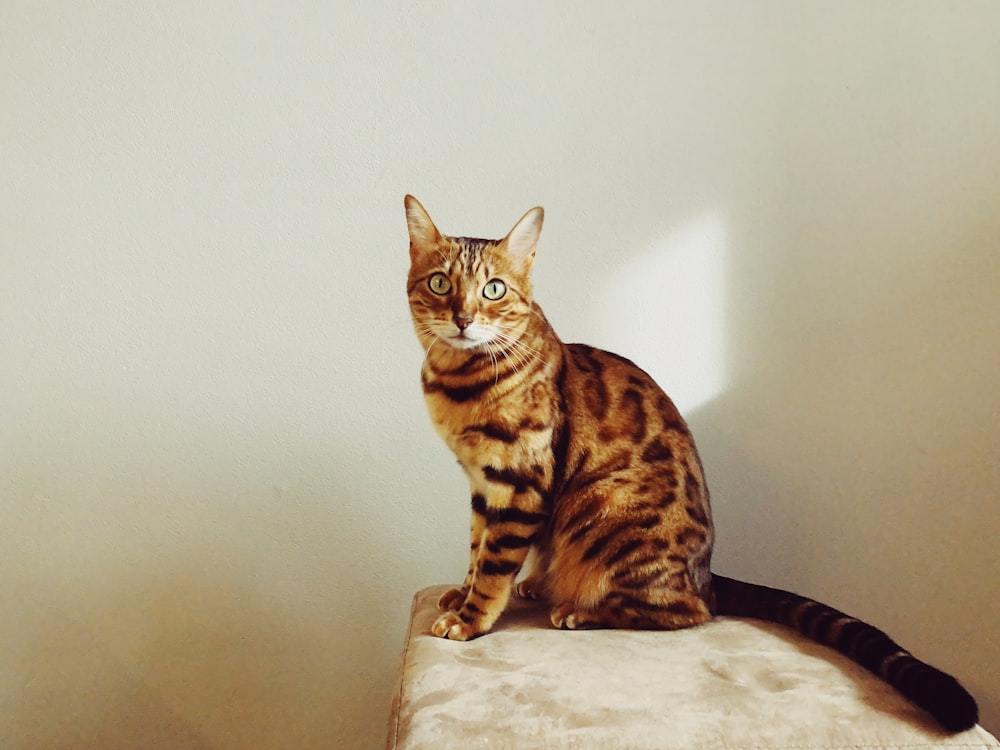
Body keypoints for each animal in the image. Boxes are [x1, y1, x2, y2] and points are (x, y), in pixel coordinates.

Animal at [404, 194, 976, 736]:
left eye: (493, 289)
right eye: (439, 283)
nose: (463, 318)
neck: (458, 384)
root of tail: (707, 573)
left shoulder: (519, 481)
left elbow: (494, 563)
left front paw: (470, 619)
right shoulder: (482, 483)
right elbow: (476, 547)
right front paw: (460, 594)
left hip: (604, 510)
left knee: (688, 611)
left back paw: (577, 608)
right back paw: (541, 584)